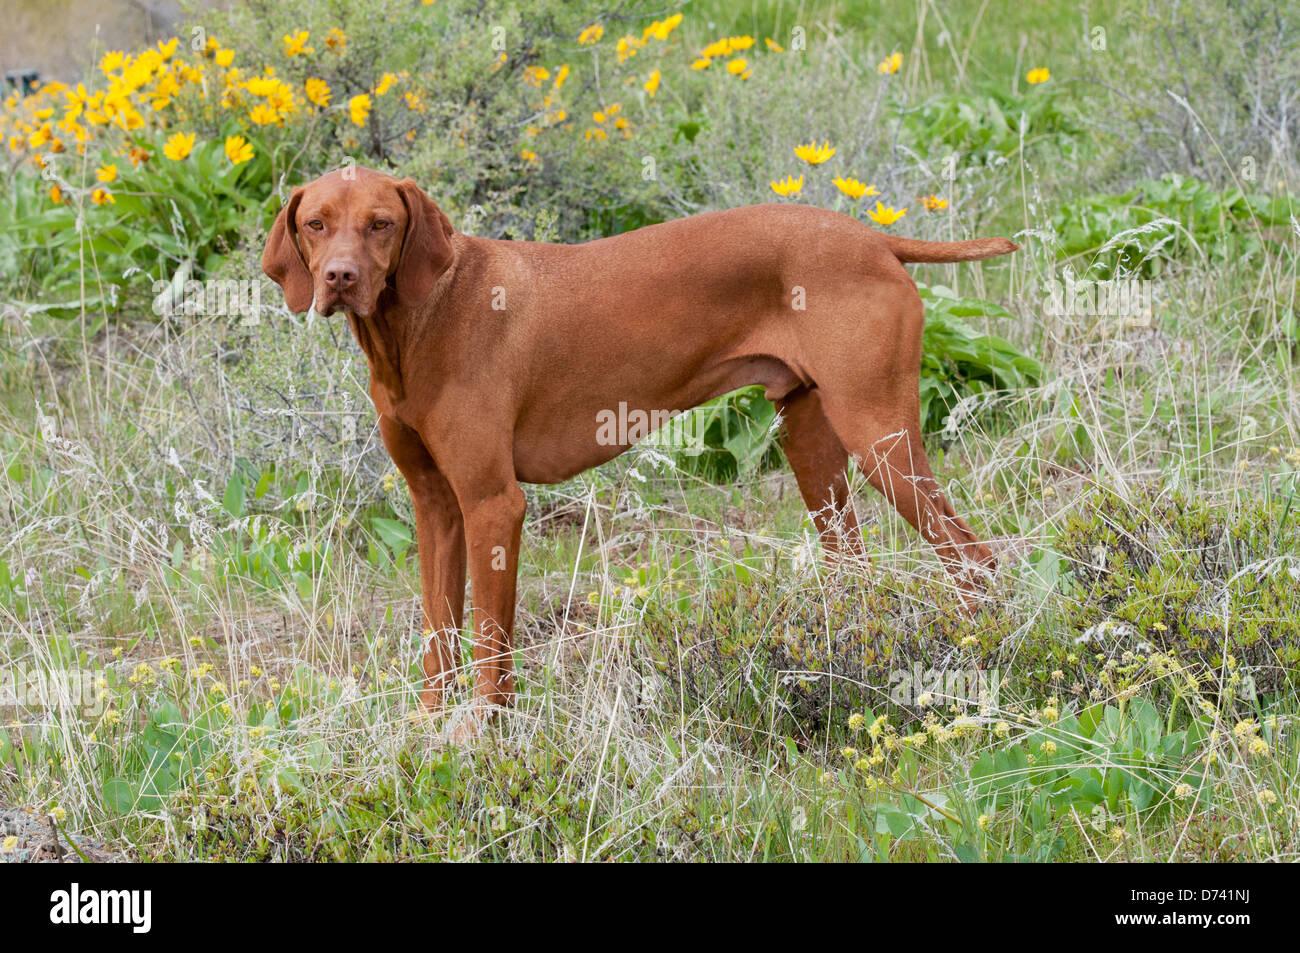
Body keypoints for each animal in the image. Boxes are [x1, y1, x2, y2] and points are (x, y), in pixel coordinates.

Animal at [261, 163, 1013, 728]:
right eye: (315, 223)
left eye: (381, 224)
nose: (339, 278)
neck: (417, 325)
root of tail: (873, 239)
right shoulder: (437, 509)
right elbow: (438, 634)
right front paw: (426, 729)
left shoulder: (493, 504)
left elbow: (489, 641)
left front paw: (485, 735)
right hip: (812, 443)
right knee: (856, 569)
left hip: (878, 434)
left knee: (974, 557)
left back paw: (979, 656)